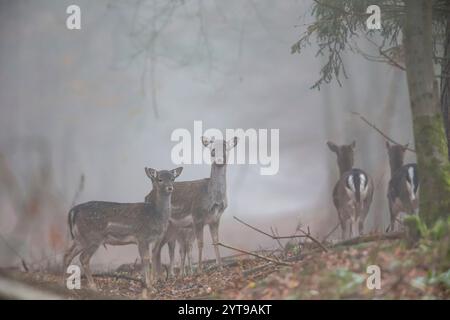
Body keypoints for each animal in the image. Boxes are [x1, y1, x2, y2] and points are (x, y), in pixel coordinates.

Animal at [149, 136, 239, 278]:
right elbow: (200, 243)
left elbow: (216, 240)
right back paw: (157, 277)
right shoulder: (197, 216)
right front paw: (200, 270)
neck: (213, 199)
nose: (219, 160)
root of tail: (147, 196)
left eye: (225, 149)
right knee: (154, 248)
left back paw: (162, 276)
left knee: (158, 249)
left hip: (172, 228)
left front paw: (220, 267)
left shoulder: (215, 218)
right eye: (212, 150)